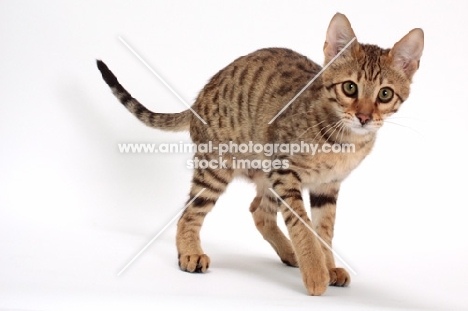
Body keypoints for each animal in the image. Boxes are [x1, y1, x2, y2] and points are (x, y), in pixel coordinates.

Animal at [97, 13, 422, 296]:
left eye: (385, 94)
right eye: (350, 88)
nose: (364, 117)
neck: (343, 139)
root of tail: (198, 99)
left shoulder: (326, 187)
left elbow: (324, 230)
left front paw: (327, 266)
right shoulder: (286, 172)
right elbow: (303, 227)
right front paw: (316, 273)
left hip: (265, 174)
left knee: (258, 211)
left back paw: (291, 254)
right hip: (217, 167)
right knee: (190, 212)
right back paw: (190, 253)